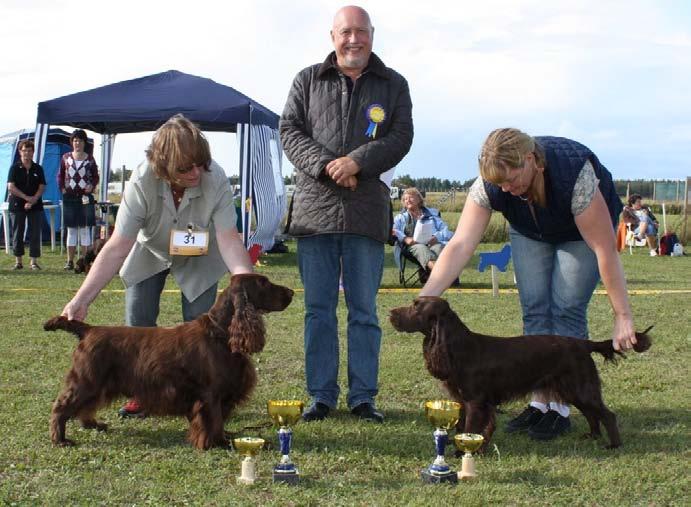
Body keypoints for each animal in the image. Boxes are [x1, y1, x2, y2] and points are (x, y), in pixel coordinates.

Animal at [45, 276, 294, 450]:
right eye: (264, 283)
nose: (292, 292)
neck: (221, 333)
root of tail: (88, 330)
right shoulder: (210, 394)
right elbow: (213, 421)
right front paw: (217, 443)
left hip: (97, 383)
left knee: (85, 406)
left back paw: (94, 425)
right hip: (87, 379)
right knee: (61, 407)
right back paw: (60, 439)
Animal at [390, 298, 656, 448]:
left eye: (416, 307)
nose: (390, 313)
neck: (458, 347)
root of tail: (583, 343)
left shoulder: (475, 401)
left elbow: (470, 428)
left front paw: (461, 452)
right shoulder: (463, 400)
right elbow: (466, 426)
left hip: (580, 386)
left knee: (606, 414)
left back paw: (614, 445)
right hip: (572, 389)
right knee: (592, 414)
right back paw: (592, 437)